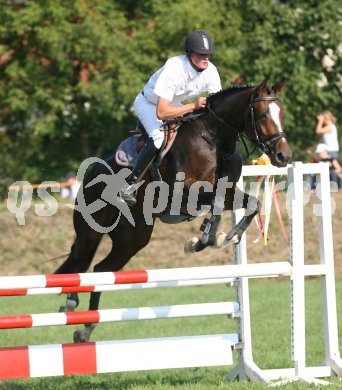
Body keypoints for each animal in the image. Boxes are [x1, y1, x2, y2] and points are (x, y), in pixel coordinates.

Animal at [55, 79, 292, 342]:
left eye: (281, 113)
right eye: (262, 115)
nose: (284, 156)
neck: (215, 141)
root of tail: (92, 170)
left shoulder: (229, 192)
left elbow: (250, 205)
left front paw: (224, 237)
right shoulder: (183, 195)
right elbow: (217, 204)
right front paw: (206, 239)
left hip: (132, 239)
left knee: (101, 270)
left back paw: (85, 329)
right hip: (91, 230)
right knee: (80, 260)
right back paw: (70, 303)